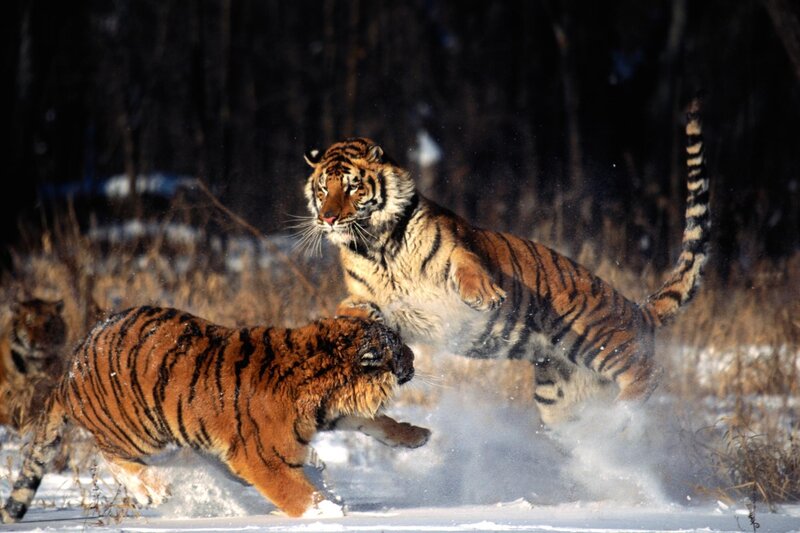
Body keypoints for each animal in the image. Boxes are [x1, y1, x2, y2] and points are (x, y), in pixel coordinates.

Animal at [301, 98, 709, 430]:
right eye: (322, 188)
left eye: (352, 186)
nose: (328, 218)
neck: (376, 246)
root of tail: (639, 310)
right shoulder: (377, 301)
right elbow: (352, 309)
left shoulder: (457, 248)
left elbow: (467, 266)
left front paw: (486, 296)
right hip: (558, 397)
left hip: (595, 337)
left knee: (648, 372)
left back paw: (623, 415)